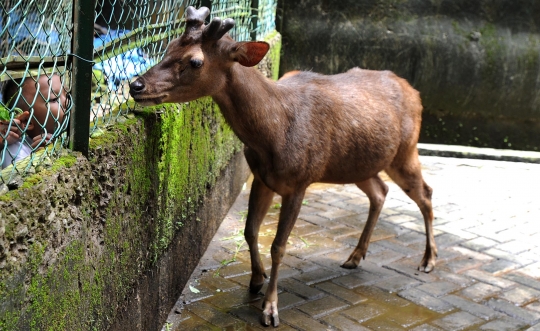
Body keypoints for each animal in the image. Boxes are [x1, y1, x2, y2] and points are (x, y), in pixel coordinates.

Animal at [129, 6, 436, 328]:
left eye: (195, 61)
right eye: (169, 46)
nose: (136, 85)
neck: (272, 137)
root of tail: (414, 91)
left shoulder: (299, 182)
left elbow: (279, 245)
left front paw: (270, 309)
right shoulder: (261, 177)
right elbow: (250, 230)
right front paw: (255, 280)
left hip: (405, 150)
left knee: (425, 193)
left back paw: (428, 261)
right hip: (358, 163)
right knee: (380, 191)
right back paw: (355, 256)